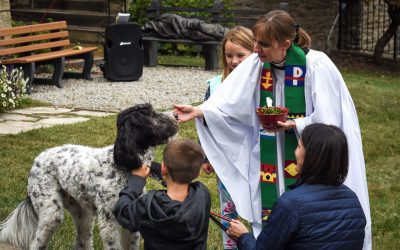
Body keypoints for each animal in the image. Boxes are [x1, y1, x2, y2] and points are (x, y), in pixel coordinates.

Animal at [0, 102, 178, 249]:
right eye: (151, 114)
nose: (176, 115)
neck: (122, 167)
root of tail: (38, 159)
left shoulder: (131, 223)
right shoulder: (108, 221)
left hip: (82, 215)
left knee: (82, 242)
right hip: (51, 213)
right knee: (37, 243)